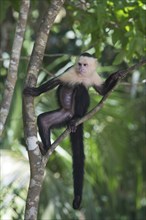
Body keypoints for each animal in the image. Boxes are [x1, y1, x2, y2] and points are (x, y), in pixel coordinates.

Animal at [23, 52, 124, 209]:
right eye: (79, 64)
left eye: (85, 64)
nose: (81, 68)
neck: (82, 75)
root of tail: (70, 116)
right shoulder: (70, 72)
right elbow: (56, 81)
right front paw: (35, 91)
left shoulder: (93, 76)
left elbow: (101, 91)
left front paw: (115, 77)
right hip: (62, 115)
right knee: (43, 121)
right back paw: (46, 149)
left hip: (75, 113)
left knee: (81, 89)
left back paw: (77, 118)